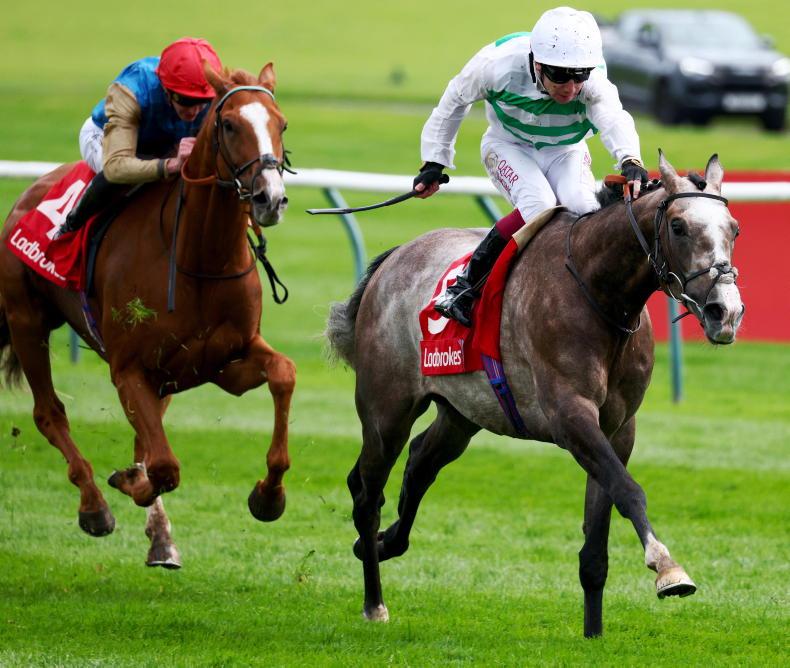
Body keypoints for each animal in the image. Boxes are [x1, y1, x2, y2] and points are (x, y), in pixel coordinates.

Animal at [0, 63, 295, 568]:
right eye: (229, 124)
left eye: (282, 124)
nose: (269, 198)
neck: (199, 258)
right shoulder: (129, 368)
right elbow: (163, 466)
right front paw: (126, 484)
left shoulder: (221, 362)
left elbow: (284, 373)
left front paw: (268, 496)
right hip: (26, 322)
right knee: (49, 413)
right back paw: (94, 506)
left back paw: (160, 536)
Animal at [325, 152, 744, 637]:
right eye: (678, 226)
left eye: (735, 228)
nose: (725, 311)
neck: (599, 291)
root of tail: (393, 257)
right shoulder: (569, 416)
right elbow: (629, 490)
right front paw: (667, 568)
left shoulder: (617, 428)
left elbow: (599, 535)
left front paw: (593, 632)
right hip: (386, 409)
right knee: (367, 494)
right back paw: (374, 600)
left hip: (462, 413)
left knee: (419, 464)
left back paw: (380, 543)